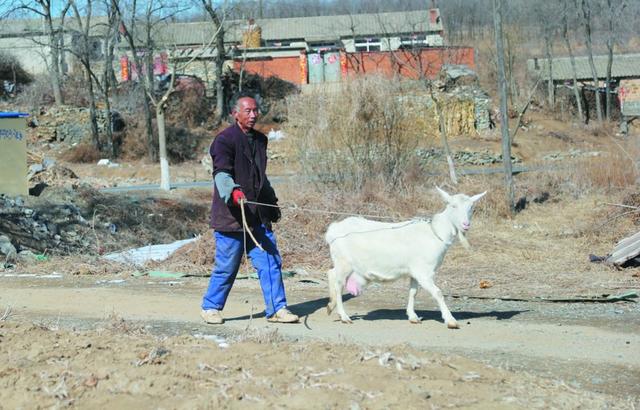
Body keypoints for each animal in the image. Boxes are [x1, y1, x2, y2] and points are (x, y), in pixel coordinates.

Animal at [324, 187, 484, 328]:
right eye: (453, 205)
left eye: (471, 207)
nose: (466, 224)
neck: (435, 232)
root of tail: (333, 230)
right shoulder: (424, 272)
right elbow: (438, 293)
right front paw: (451, 321)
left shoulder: (414, 271)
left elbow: (413, 292)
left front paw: (413, 317)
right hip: (344, 262)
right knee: (338, 283)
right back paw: (344, 316)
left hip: (344, 263)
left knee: (331, 274)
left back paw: (331, 306)